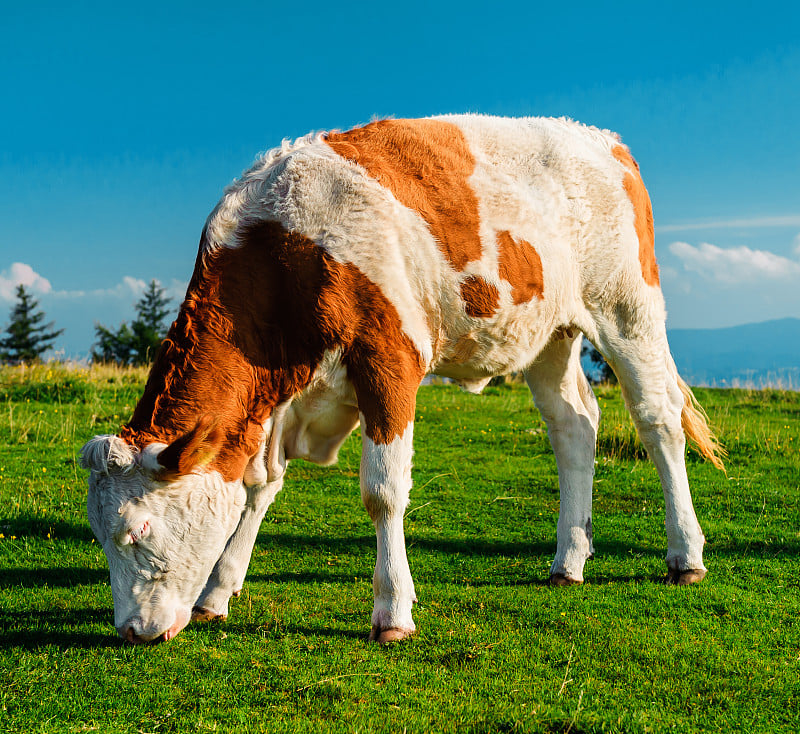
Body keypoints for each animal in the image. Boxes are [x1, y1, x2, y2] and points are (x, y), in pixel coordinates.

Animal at [81, 113, 724, 644]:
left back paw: (685, 555)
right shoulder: (275, 398)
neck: (286, 246)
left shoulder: (387, 359)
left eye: (137, 531)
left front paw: (392, 611)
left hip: (627, 308)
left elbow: (383, 491)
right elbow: (259, 485)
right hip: (551, 332)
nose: (131, 631)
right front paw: (219, 589)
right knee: (574, 429)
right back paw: (569, 560)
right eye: (97, 533)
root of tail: (601, 138)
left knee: (658, 422)